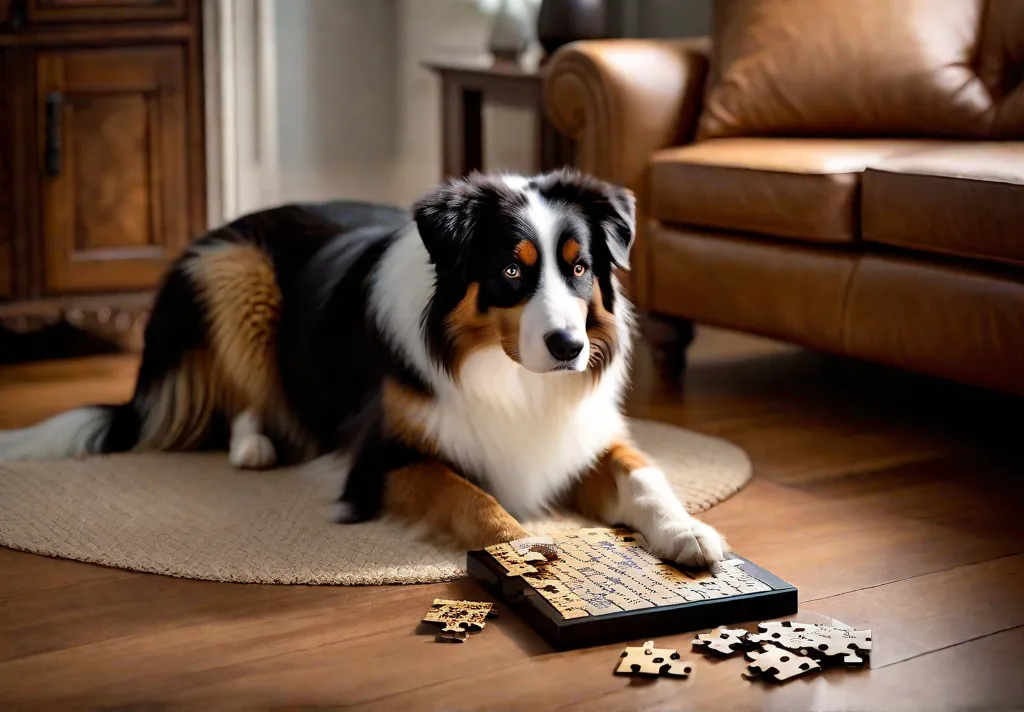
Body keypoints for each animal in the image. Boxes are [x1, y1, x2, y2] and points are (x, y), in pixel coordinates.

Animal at [4, 166, 733, 569]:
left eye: (580, 269)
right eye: (510, 272)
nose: (568, 347)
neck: (506, 375)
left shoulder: (583, 435)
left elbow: (646, 475)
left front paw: (686, 530)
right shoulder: (382, 458)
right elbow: (467, 493)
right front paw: (520, 543)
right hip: (234, 269)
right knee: (248, 395)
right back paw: (254, 446)